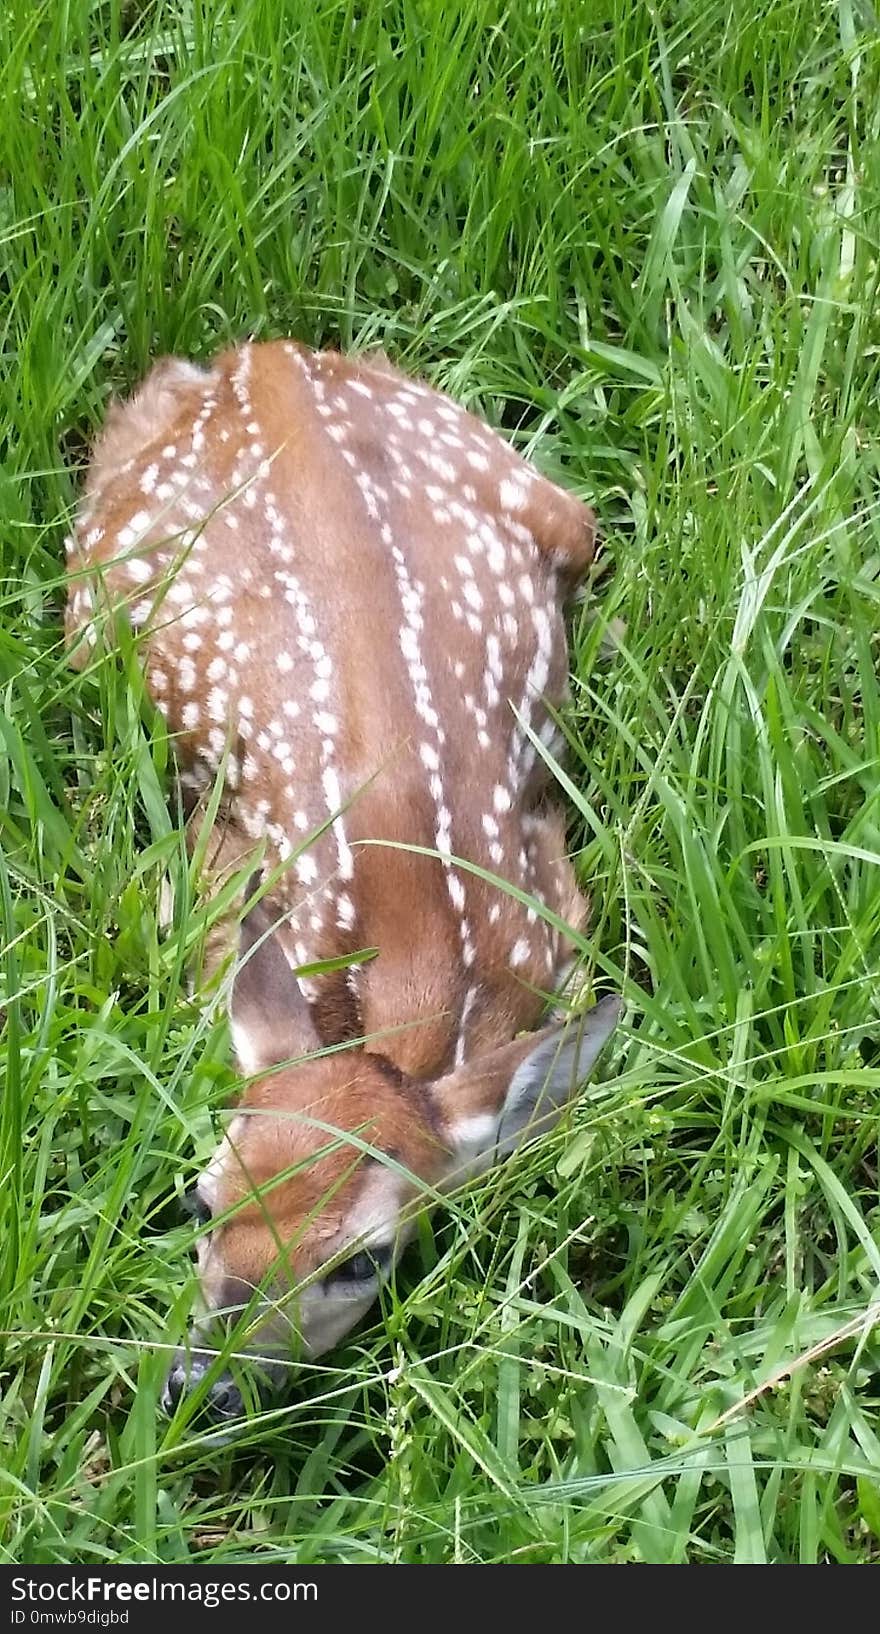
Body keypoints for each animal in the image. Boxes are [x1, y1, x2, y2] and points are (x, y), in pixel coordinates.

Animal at [65, 341, 620, 1418]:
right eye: (199, 1199)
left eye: (364, 1260)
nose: (202, 1385)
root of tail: (263, 358)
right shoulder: (217, 878)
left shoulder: (554, 904)